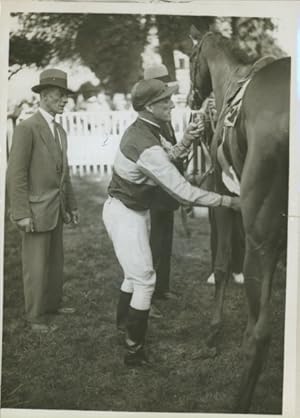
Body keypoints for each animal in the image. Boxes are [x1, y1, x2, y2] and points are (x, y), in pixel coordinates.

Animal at [189, 31, 290, 412]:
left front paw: (215, 329)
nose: (191, 97)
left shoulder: (222, 197)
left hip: (260, 232)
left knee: (262, 333)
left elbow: (221, 266)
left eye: (191, 58)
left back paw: (241, 398)